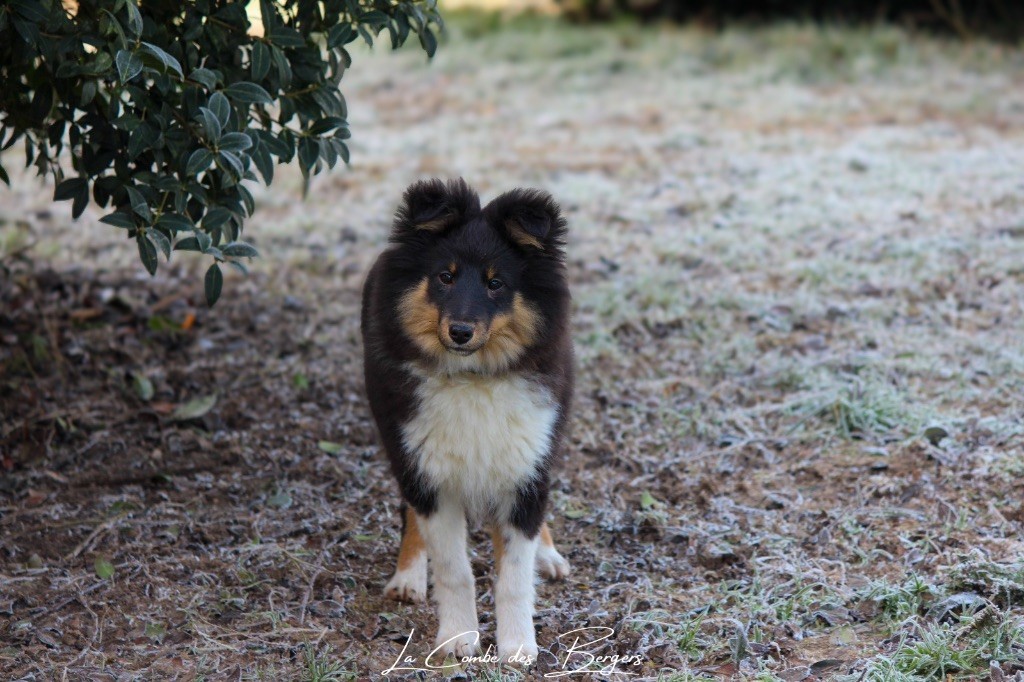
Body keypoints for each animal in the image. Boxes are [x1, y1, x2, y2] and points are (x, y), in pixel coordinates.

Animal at [360, 178, 573, 659]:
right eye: (445, 276)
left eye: (496, 283)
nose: (459, 332)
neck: (474, 378)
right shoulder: (428, 471)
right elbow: (455, 570)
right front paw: (458, 640)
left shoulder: (524, 465)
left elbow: (513, 573)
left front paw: (518, 647)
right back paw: (409, 575)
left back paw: (547, 555)